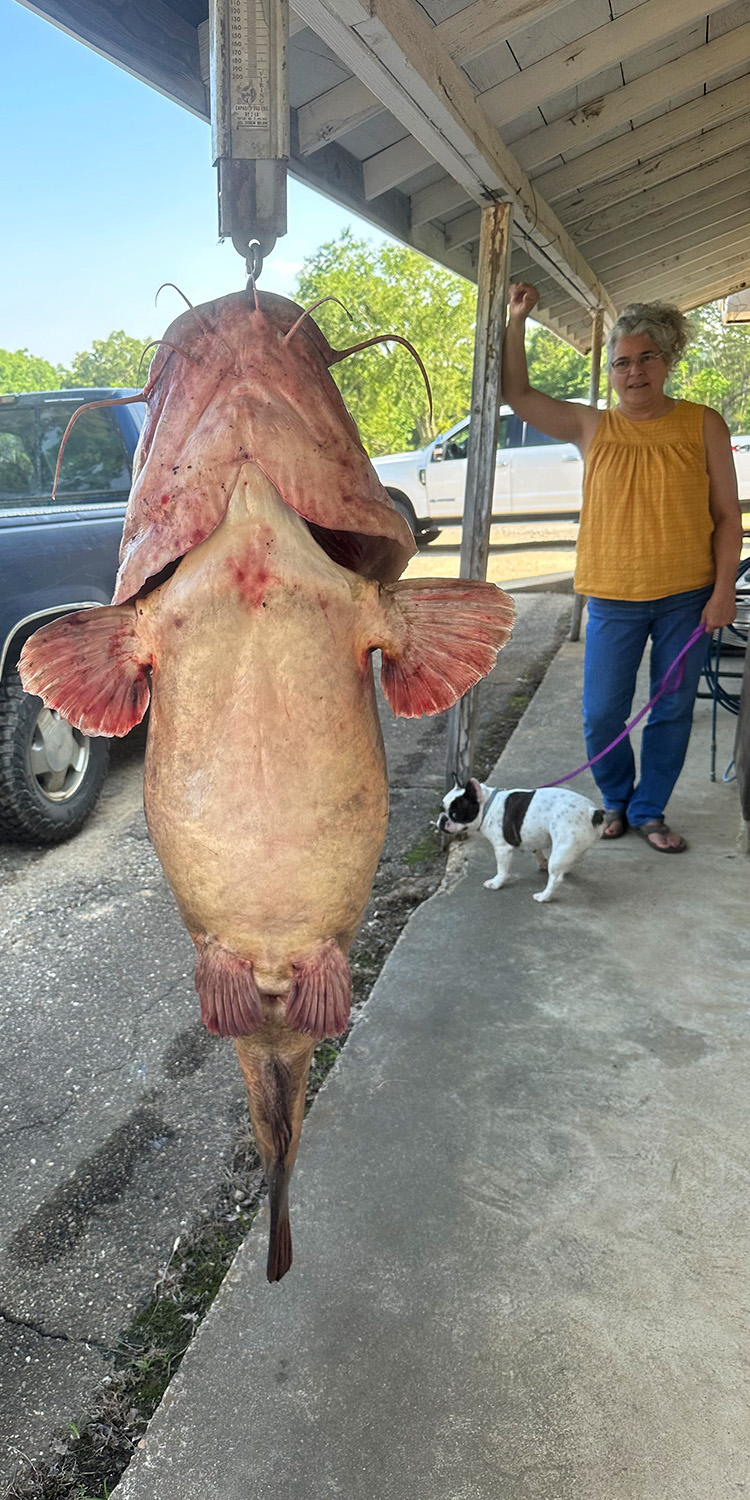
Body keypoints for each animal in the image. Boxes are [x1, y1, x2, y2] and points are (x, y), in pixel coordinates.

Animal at [438, 786, 603, 900]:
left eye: (455, 814)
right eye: (441, 809)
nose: (442, 819)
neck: (488, 805)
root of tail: (593, 812)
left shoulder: (502, 848)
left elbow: (502, 869)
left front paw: (496, 883)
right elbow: (537, 851)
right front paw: (542, 863)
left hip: (562, 847)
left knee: (556, 878)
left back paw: (544, 896)